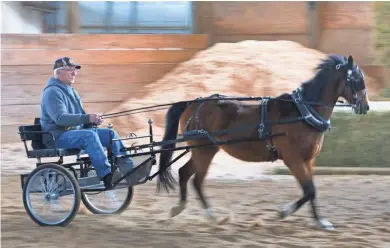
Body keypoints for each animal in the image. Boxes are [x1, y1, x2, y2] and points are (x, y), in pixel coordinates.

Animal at [155, 54, 368, 231]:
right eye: (357, 80)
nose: (365, 107)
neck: (303, 112)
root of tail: (193, 104)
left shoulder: (308, 160)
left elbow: (312, 191)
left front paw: (320, 221)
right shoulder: (292, 159)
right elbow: (309, 190)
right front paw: (284, 212)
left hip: (203, 150)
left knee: (184, 173)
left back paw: (179, 207)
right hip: (204, 151)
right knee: (197, 181)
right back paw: (213, 216)